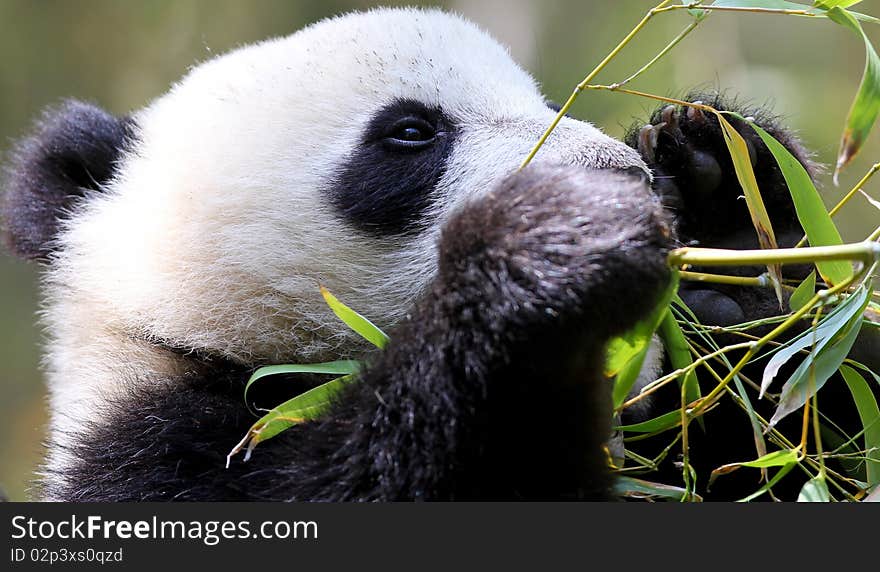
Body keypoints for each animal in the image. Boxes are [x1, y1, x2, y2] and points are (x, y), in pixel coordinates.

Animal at [0, 7, 852, 500]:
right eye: (411, 131)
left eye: (548, 103)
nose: (624, 173)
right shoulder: (158, 454)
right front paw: (550, 243)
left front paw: (725, 192)